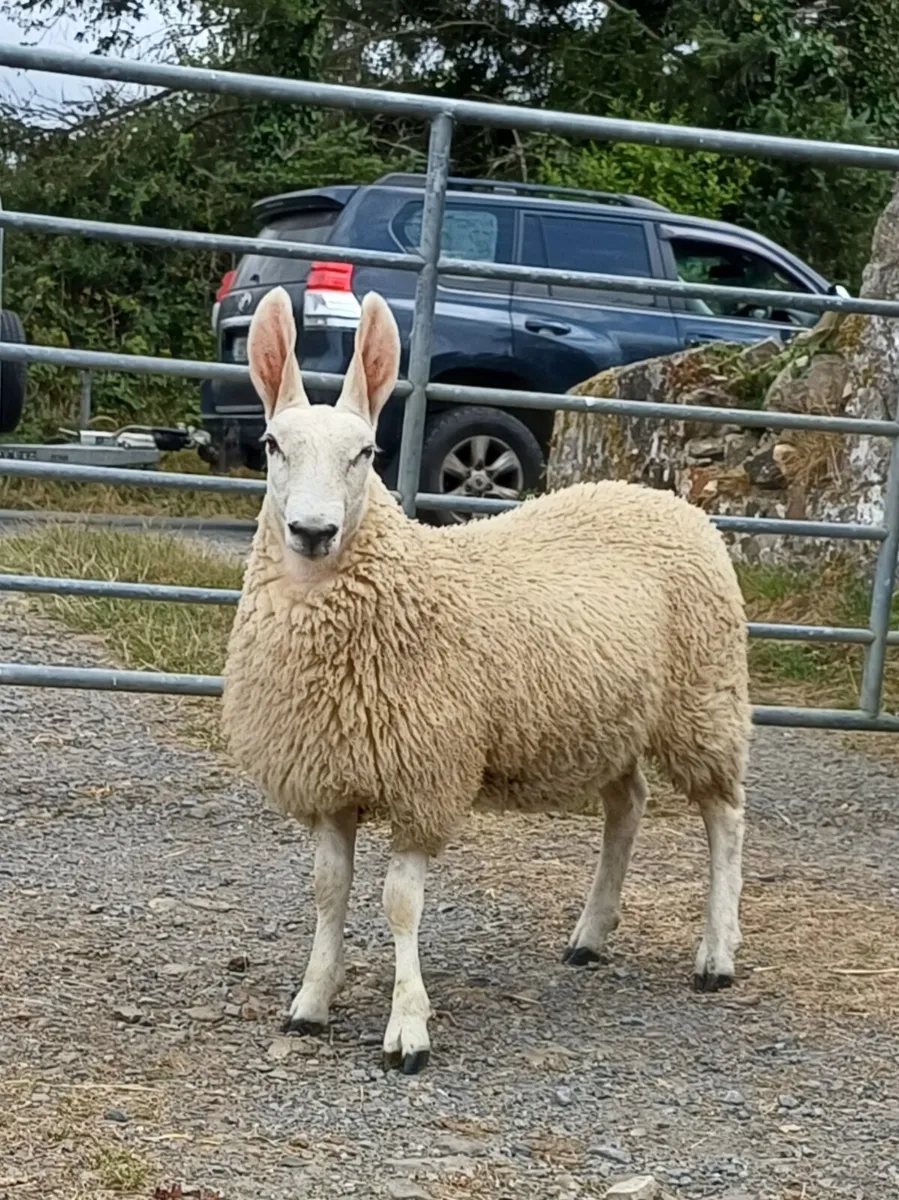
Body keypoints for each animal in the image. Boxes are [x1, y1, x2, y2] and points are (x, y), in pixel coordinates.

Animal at [222, 284, 751, 1075]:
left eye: (366, 453)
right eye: (271, 445)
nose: (312, 532)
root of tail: (661, 496)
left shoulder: (425, 776)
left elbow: (399, 903)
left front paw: (407, 1028)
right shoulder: (332, 775)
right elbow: (327, 891)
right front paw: (311, 1002)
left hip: (703, 698)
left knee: (723, 815)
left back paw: (715, 952)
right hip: (610, 718)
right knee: (626, 806)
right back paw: (589, 934)